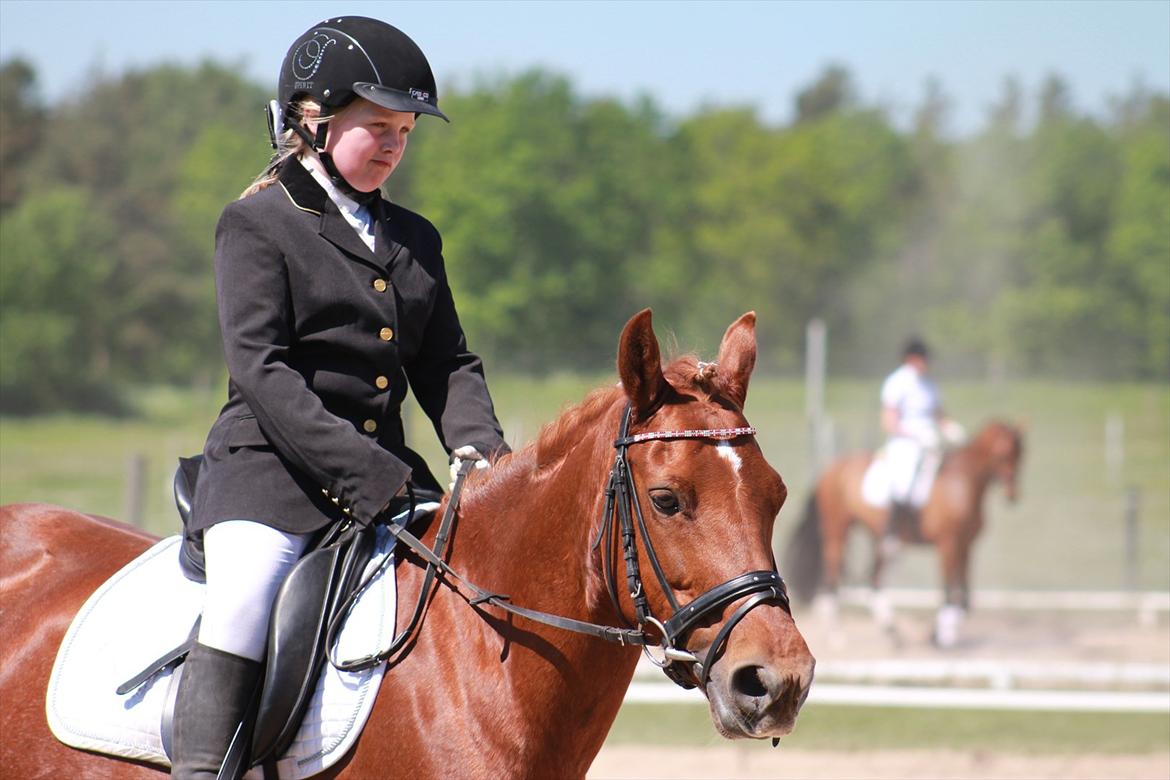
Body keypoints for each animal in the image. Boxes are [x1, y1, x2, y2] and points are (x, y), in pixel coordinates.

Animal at [786, 420, 1024, 645]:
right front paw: (942, 637)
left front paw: (939, 632)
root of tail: (832, 468)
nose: (1013, 494)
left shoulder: (966, 546)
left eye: (1021, 454)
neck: (962, 483)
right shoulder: (948, 545)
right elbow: (949, 592)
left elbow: (965, 598)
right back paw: (837, 635)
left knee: (874, 579)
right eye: (1003, 453)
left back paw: (891, 632)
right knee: (832, 581)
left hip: (879, 539)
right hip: (837, 532)